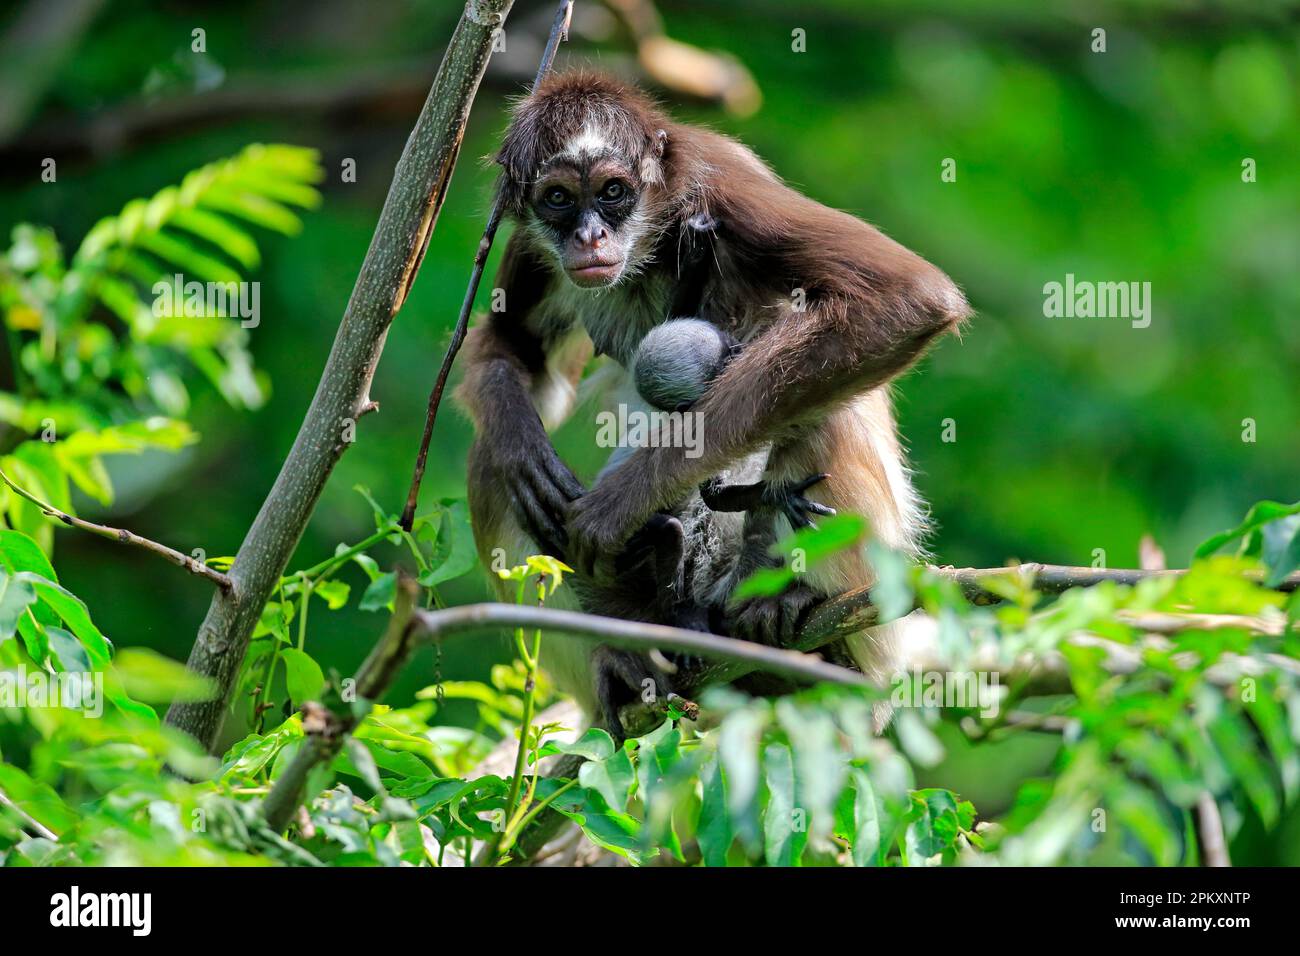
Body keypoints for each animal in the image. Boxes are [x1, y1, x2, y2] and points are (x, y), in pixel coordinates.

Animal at [456, 71, 970, 736]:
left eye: (613, 192)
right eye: (558, 199)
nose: (590, 236)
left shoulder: (721, 187)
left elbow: (906, 298)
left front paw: (615, 507)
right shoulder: (532, 240)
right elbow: (512, 351)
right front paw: (522, 444)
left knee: (819, 403)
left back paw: (795, 608)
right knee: (490, 465)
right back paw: (623, 663)